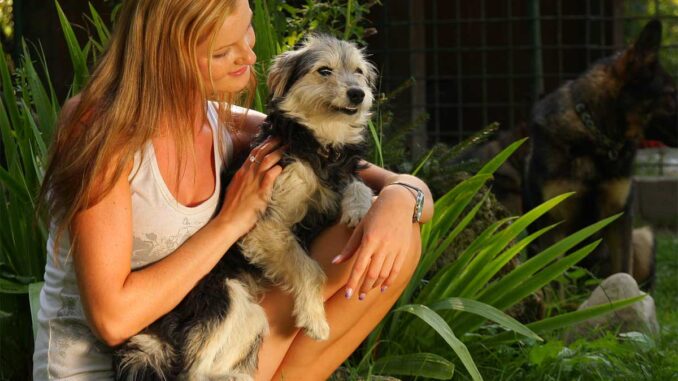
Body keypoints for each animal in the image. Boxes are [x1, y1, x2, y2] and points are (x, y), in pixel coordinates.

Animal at [113, 33, 378, 380]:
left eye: (358, 72)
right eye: (324, 71)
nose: (358, 94)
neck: (319, 142)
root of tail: (155, 335)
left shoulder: (339, 174)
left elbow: (359, 184)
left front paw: (360, 209)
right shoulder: (263, 224)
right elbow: (309, 269)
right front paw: (315, 319)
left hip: (250, 314)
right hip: (223, 299)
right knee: (191, 369)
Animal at [524, 19, 676, 284]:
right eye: (671, 94)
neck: (594, 136)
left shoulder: (620, 218)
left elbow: (623, 271)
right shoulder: (553, 223)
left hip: (644, 237)